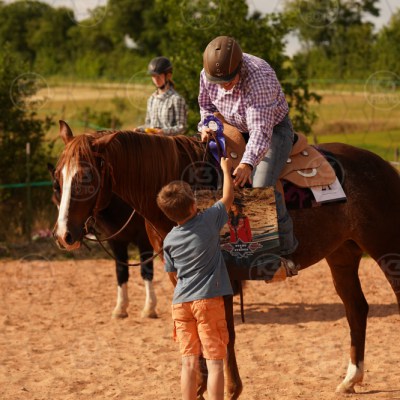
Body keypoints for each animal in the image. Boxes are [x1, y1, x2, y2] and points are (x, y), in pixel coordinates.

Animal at [52, 120, 400, 398]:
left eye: (86, 177)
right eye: (57, 178)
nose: (64, 235)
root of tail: (385, 167)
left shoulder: (223, 278)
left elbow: (224, 334)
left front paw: (229, 389)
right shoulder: (181, 277)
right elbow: (196, 331)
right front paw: (198, 387)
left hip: (387, 251)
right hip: (342, 255)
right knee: (356, 309)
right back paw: (350, 379)